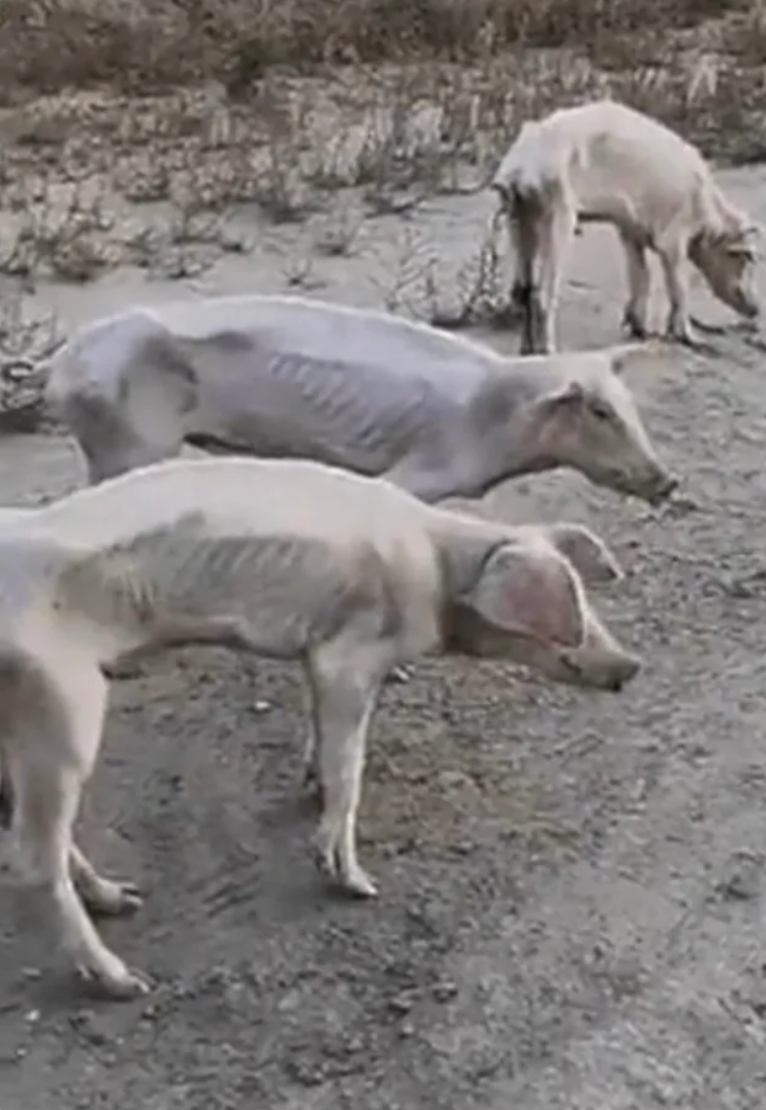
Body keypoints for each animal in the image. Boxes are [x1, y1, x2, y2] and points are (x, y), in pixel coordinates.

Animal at [0, 455, 640, 1000]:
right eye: (571, 609)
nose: (631, 666)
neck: (437, 575)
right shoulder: (350, 655)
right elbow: (351, 764)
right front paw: (357, 884)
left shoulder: (316, 651)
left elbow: (322, 733)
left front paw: (310, 788)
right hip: (64, 697)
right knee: (32, 856)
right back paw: (127, 980)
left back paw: (124, 898)